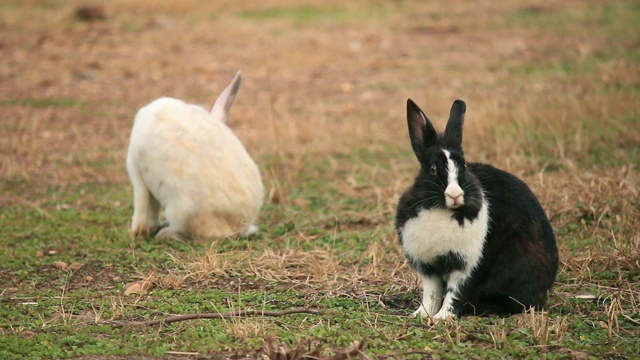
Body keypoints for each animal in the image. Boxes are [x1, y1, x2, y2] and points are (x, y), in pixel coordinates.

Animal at [126, 71, 264, 239]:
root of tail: (234, 228)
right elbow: (153, 206)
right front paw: (151, 227)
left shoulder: (136, 170)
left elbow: (142, 202)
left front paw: (138, 231)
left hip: (180, 211)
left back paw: (164, 233)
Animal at [398, 97, 556, 318]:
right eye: (432, 168)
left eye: (463, 167)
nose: (455, 195)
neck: (442, 209)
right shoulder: (428, 269)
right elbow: (431, 294)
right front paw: (421, 315)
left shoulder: (467, 267)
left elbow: (455, 293)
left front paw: (442, 318)